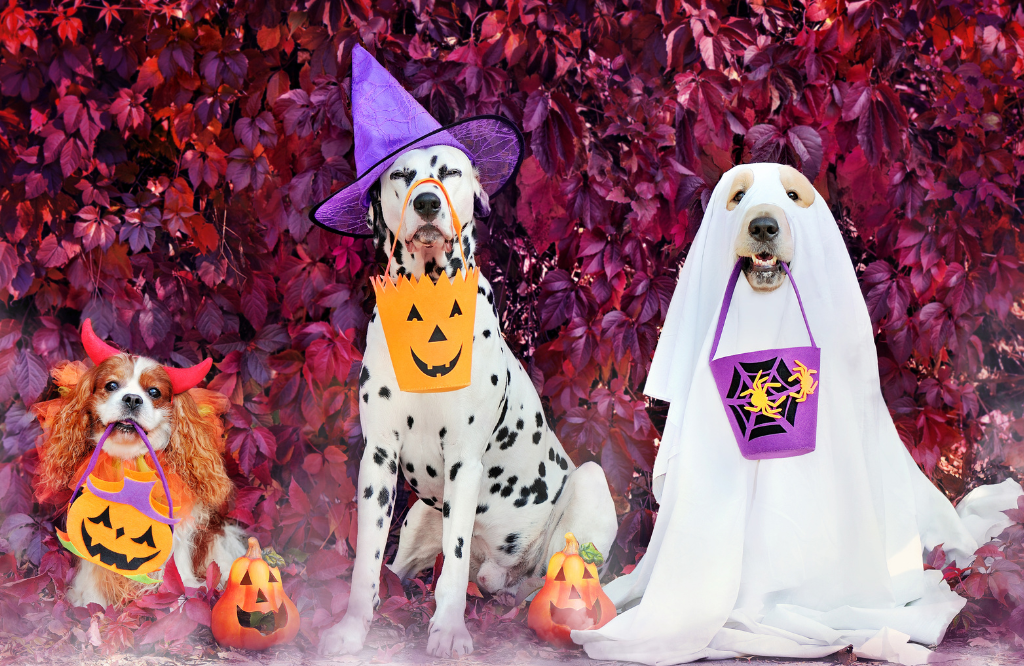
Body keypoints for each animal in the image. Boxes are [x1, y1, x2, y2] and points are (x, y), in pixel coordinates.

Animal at [311, 45, 614, 651]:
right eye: (403, 174)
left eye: (449, 171)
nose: (428, 203)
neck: (428, 306)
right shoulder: (378, 460)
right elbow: (366, 561)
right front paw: (352, 629)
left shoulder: (465, 462)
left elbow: (450, 570)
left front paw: (448, 632)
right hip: (417, 518)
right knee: (403, 567)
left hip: (588, 487)